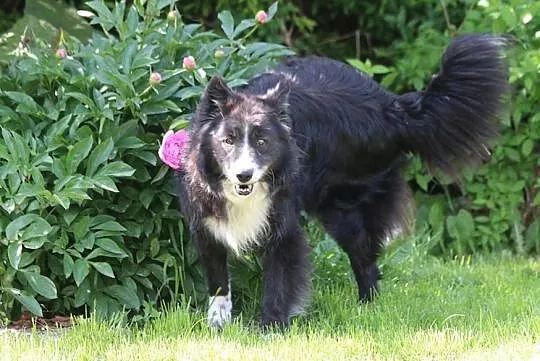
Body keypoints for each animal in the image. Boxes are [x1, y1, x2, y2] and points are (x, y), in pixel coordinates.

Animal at [175, 34, 508, 330]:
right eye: (228, 140)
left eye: (262, 141)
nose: (244, 175)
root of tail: (392, 108)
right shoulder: (206, 225)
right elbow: (218, 282)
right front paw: (218, 325)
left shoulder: (284, 223)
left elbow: (280, 277)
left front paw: (270, 326)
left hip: (347, 203)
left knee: (365, 256)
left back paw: (367, 308)